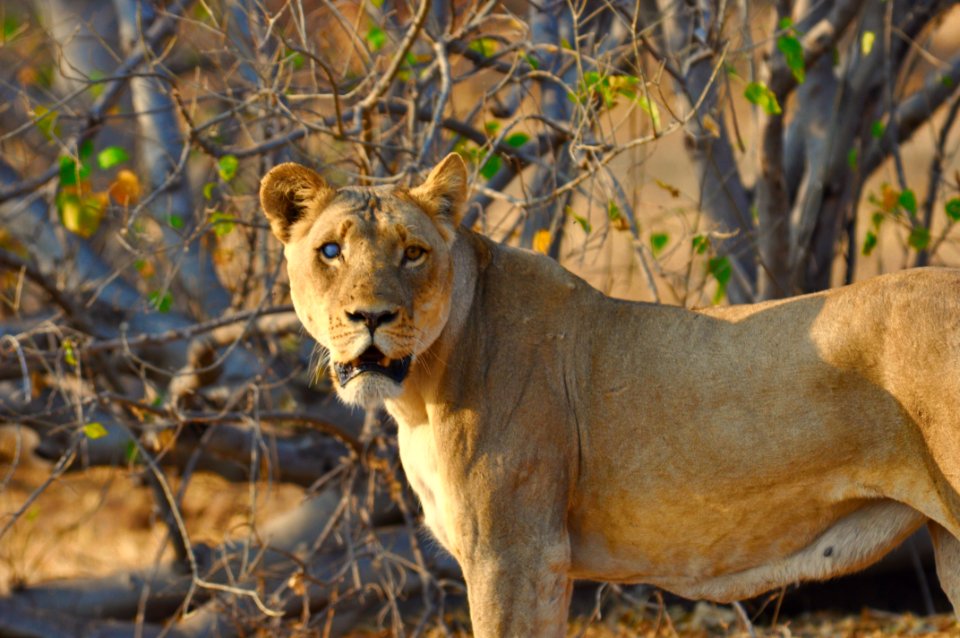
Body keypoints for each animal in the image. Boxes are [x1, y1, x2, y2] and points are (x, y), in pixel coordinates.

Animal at [262, 152, 960, 636]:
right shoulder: (538, 564)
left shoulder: (512, 554)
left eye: (412, 253)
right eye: (330, 251)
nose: (370, 317)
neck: (421, 395)